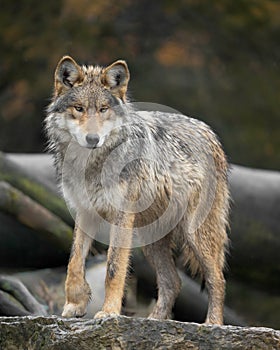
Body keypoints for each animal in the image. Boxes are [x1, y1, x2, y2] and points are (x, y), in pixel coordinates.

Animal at [45, 55, 230, 326]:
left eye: (103, 109)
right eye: (79, 108)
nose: (93, 139)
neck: (91, 165)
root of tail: (210, 133)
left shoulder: (121, 217)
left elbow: (114, 267)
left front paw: (109, 312)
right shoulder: (85, 212)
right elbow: (74, 262)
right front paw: (75, 304)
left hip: (195, 233)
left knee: (217, 278)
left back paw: (212, 324)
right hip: (151, 240)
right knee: (173, 282)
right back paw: (155, 320)